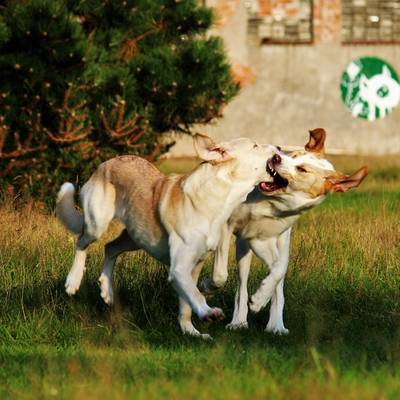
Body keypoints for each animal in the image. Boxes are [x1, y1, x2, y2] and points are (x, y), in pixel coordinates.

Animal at [56, 134, 280, 338]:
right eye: (255, 145)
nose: (278, 148)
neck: (217, 199)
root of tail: (105, 163)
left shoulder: (194, 266)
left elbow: (187, 304)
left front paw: (191, 332)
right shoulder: (179, 268)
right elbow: (195, 295)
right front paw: (208, 312)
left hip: (136, 237)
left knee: (110, 247)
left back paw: (107, 291)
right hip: (97, 224)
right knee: (81, 242)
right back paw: (73, 282)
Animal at [202, 130, 368, 332]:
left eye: (302, 170)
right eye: (294, 156)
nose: (276, 156)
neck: (268, 204)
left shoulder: (259, 238)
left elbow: (280, 268)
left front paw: (259, 299)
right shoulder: (228, 226)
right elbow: (220, 274)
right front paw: (206, 286)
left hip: (279, 240)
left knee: (278, 271)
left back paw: (275, 324)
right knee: (242, 283)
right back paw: (238, 321)